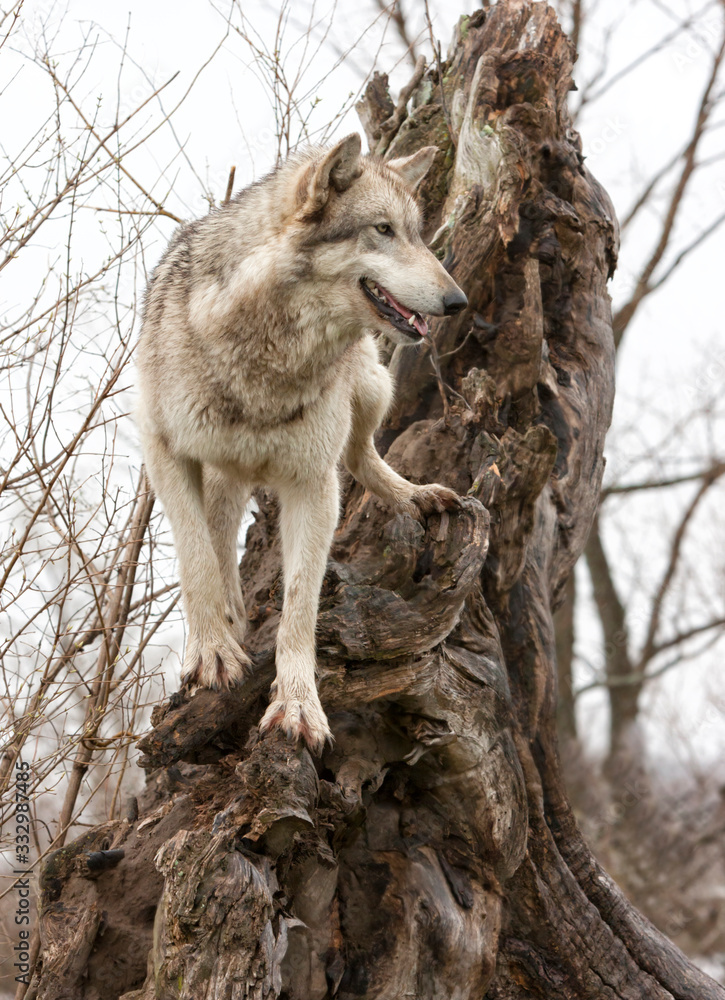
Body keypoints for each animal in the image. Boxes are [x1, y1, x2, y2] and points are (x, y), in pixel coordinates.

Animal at [136, 132, 467, 751]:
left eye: (419, 234)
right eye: (383, 229)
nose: (458, 301)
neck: (267, 357)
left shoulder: (313, 484)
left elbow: (300, 604)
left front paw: (297, 706)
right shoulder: (165, 451)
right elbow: (195, 559)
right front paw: (213, 652)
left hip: (372, 386)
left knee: (361, 457)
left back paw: (414, 494)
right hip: (227, 464)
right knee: (219, 538)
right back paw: (229, 620)